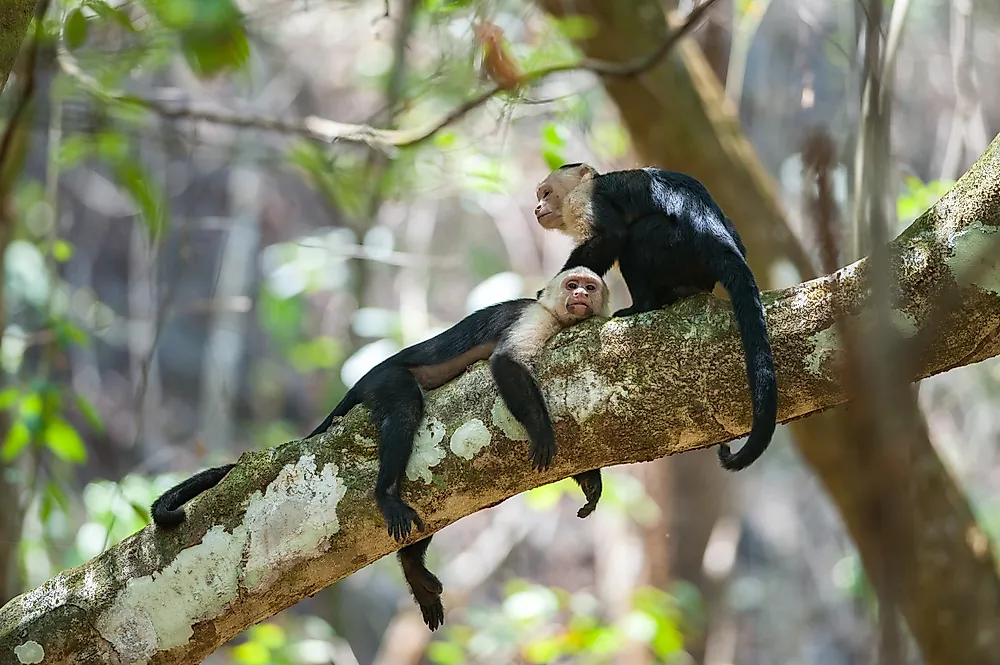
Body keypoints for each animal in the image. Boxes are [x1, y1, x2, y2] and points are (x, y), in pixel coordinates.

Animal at [150, 267, 610, 631]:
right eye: (572, 284)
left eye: (589, 287)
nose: (580, 296)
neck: (555, 315)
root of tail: (362, 379)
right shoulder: (534, 316)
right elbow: (506, 364)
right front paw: (543, 432)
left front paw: (590, 479)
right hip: (384, 381)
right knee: (405, 410)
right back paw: (384, 495)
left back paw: (414, 570)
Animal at [533, 163, 777, 472]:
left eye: (546, 193)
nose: (537, 207)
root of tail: (711, 231)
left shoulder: (583, 200)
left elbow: (610, 237)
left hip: (676, 245)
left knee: (639, 235)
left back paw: (642, 306)